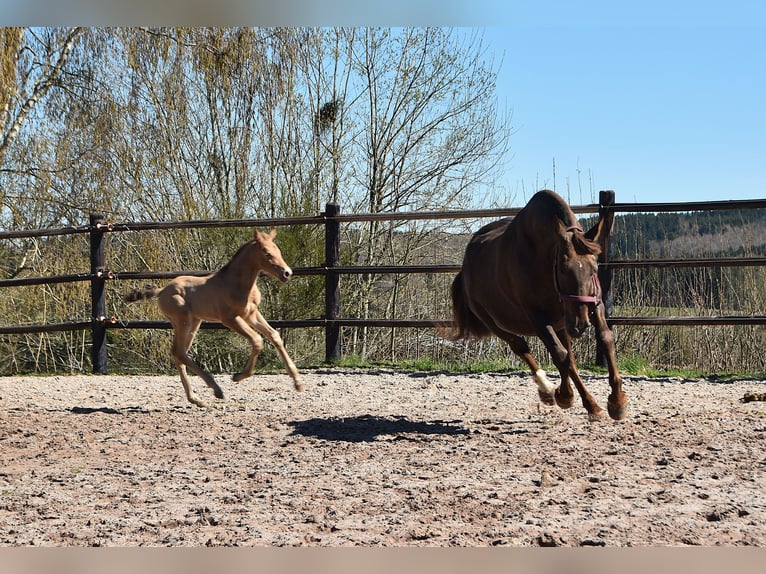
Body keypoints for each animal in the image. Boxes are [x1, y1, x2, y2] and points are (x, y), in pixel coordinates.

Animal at [125, 228, 302, 407]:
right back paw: (215, 389)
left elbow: (274, 335)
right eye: (266, 253)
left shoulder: (251, 314)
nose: (287, 273)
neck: (236, 284)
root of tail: (162, 291)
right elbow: (257, 340)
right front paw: (238, 376)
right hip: (183, 322)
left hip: (194, 323)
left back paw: (196, 398)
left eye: (278, 250)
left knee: (179, 352)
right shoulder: (230, 319)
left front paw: (298, 382)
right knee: (179, 352)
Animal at [446, 190, 627, 421]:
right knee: (521, 346)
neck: (542, 258)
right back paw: (548, 389)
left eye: (594, 267)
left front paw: (617, 401)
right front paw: (583, 402)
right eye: (563, 269)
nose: (580, 325)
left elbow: (604, 340)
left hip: (562, 322)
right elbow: (560, 356)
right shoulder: (539, 319)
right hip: (495, 322)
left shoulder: (594, 306)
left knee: (567, 355)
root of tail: (465, 265)